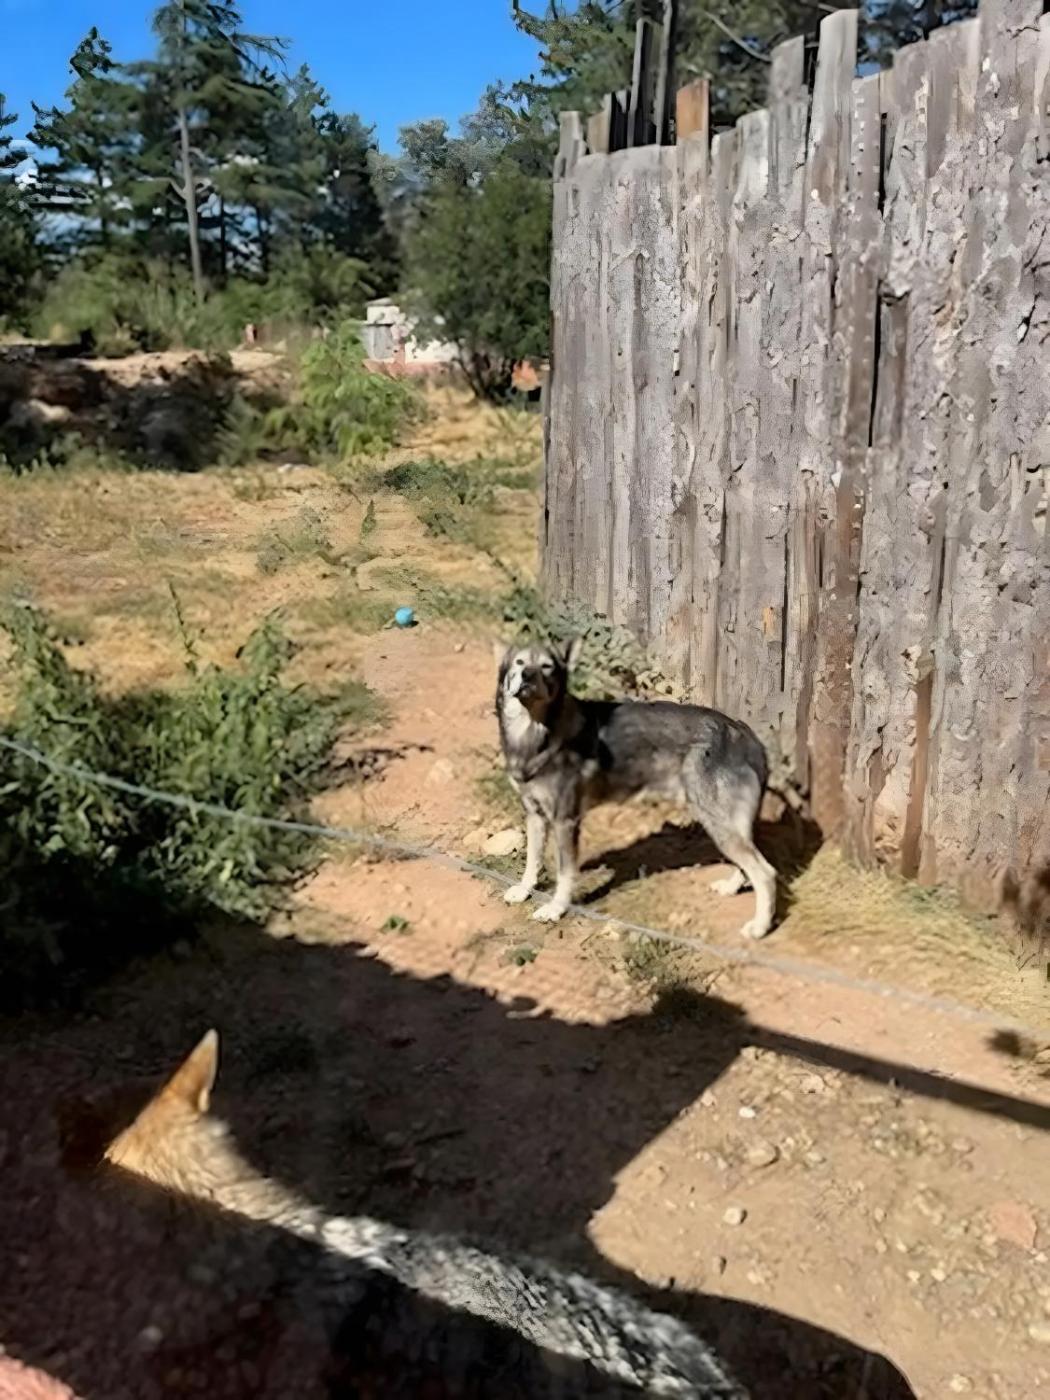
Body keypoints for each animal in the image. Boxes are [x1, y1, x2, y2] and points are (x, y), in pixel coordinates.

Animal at [495, 638, 777, 939]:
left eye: (546, 666)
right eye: (520, 663)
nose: (527, 675)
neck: (535, 733)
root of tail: (743, 733)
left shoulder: (565, 821)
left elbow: (564, 873)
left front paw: (556, 909)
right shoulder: (534, 815)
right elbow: (532, 860)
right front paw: (524, 890)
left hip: (717, 821)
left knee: (765, 873)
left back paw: (760, 927)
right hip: (725, 823)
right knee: (749, 864)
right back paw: (732, 888)